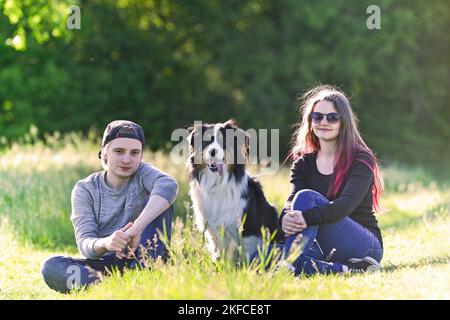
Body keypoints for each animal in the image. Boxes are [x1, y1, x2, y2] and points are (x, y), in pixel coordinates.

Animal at [187, 119, 282, 262]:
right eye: (206, 141)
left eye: (223, 140)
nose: (213, 151)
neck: (217, 184)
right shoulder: (212, 228)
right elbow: (218, 250)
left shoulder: (248, 228)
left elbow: (247, 251)